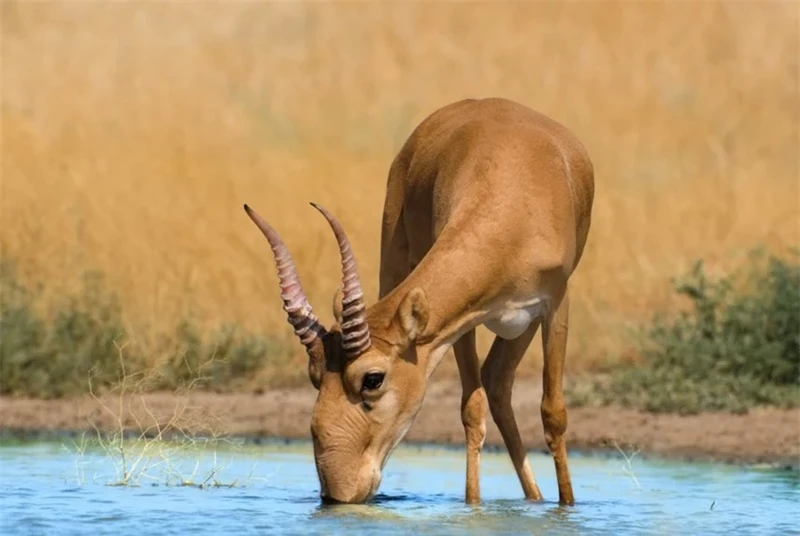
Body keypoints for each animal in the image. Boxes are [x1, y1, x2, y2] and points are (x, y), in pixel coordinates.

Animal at [244, 97, 592, 506]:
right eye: (315, 376)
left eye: (372, 378)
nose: (336, 491)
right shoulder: (461, 321)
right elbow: (472, 409)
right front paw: (473, 506)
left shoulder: (555, 303)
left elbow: (553, 412)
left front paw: (567, 505)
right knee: (495, 383)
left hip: (522, 322)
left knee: (499, 381)